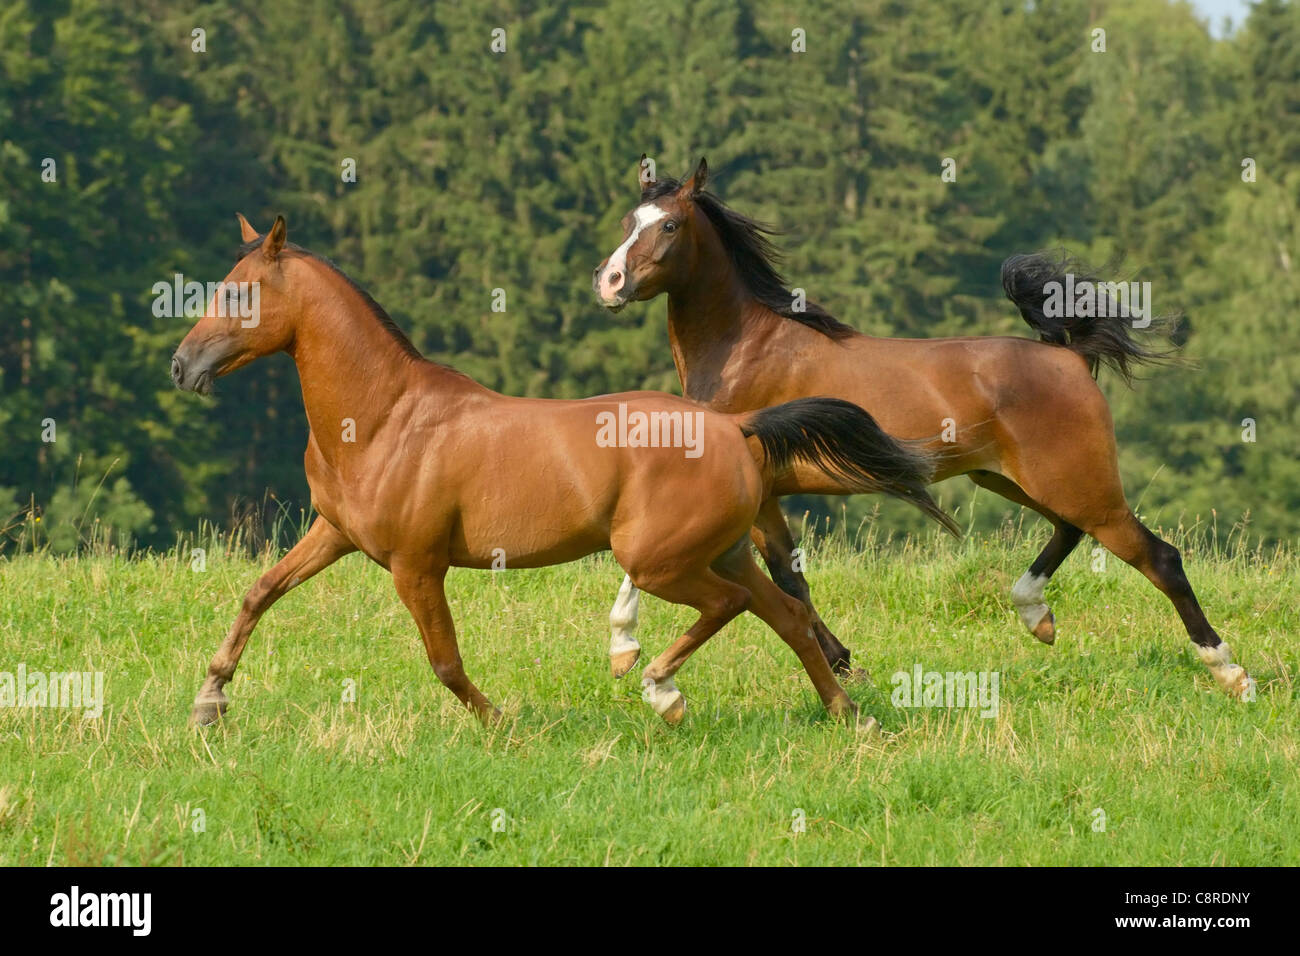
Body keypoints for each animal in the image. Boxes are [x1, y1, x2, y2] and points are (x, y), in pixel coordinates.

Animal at [171, 213, 958, 729]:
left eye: (238, 295)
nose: (181, 365)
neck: (383, 418)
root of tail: (736, 428)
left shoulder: (416, 565)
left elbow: (445, 660)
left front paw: (501, 722)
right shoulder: (334, 533)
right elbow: (260, 592)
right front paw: (210, 701)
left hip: (658, 560)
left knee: (729, 606)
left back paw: (656, 683)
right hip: (724, 550)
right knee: (787, 614)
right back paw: (848, 714)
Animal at [592, 157, 1255, 701]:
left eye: (669, 226)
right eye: (628, 220)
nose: (609, 281)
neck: (747, 350)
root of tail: (1068, 357)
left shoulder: (741, 491)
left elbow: (732, 570)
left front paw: (624, 648)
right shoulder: (762, 498)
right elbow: (788, 578)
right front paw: (845, 662)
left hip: (1079, 484)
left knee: (1158, 557)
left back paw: (1228, 670)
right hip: (1015, 480)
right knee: (1070, 530)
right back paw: (1035, 614)